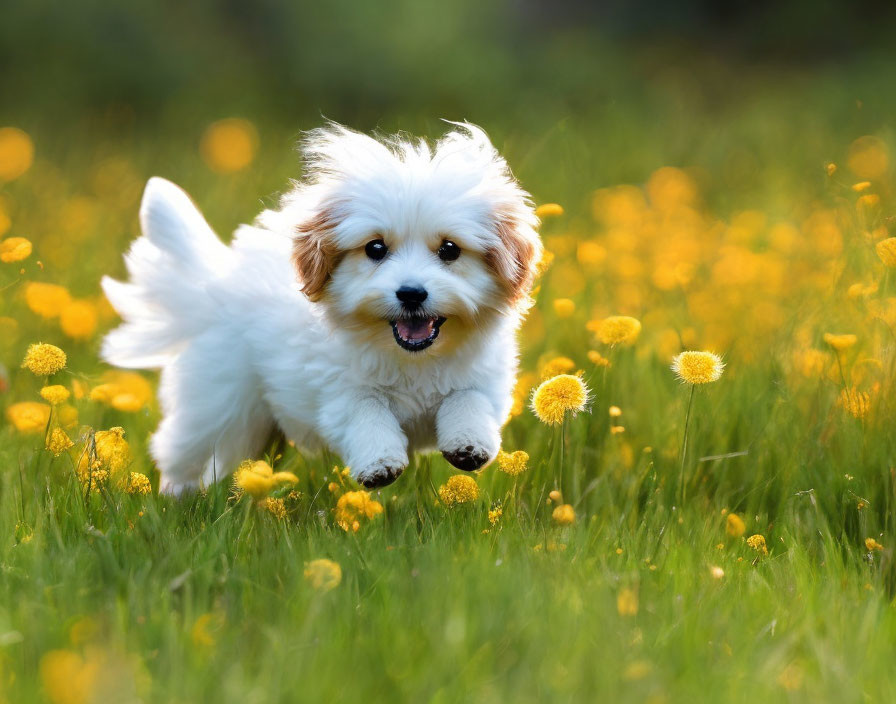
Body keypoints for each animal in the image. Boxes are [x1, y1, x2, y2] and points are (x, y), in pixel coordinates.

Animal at [101, 122, 544, 496]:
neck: (410, 358)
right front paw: (380, 464)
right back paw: (177, 505)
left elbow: (468, 400)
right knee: (184, 455)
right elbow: (366, 412)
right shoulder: (338, 388)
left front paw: (468, 445)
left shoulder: (486, 379)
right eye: (376, 248)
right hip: (218, 404)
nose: (411, 293)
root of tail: (215, 286)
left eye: (450, 250)